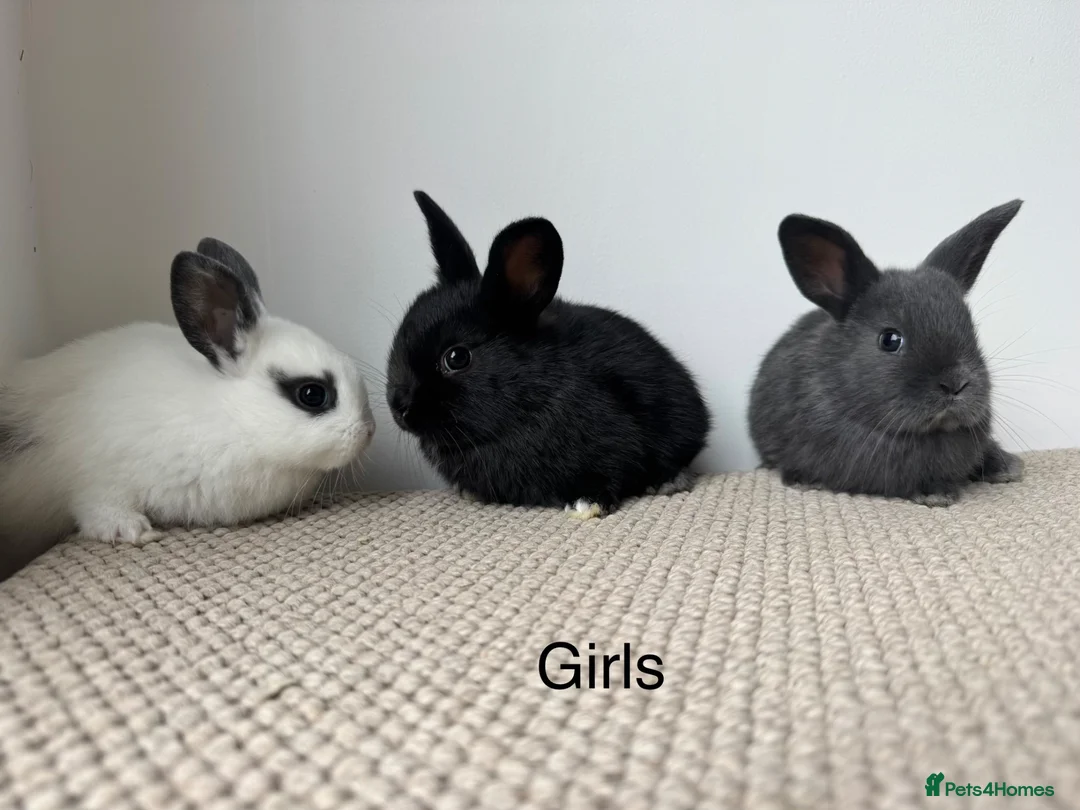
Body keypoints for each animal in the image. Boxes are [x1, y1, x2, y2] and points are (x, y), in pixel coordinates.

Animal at [0, 238, 374, 578]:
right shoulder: (99, 478)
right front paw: (132, 530)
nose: (369, 431)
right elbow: (97, 509)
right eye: (312, 394)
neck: (234, 420)